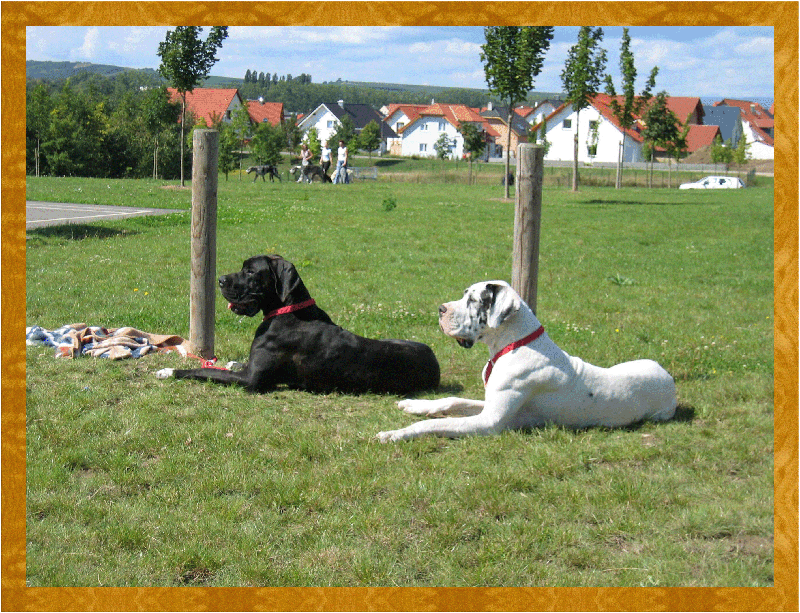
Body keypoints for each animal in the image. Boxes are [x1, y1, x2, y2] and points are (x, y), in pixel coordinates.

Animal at [157, 255, 440, 395]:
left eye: (251, 272)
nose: (221, 280)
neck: (287, 311)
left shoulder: (250, 380)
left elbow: (199, 371)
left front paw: (169, 371)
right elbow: (226, 365)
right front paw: (229, 361)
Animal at [376, 281, 676, 442]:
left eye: (473, 300)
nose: (441, 309)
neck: (514, 345)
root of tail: (669, 378)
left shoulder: (489, 422)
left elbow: (433, 425)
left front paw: (395, 433)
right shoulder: (489, 403)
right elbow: (451, 401)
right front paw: (415, 405)